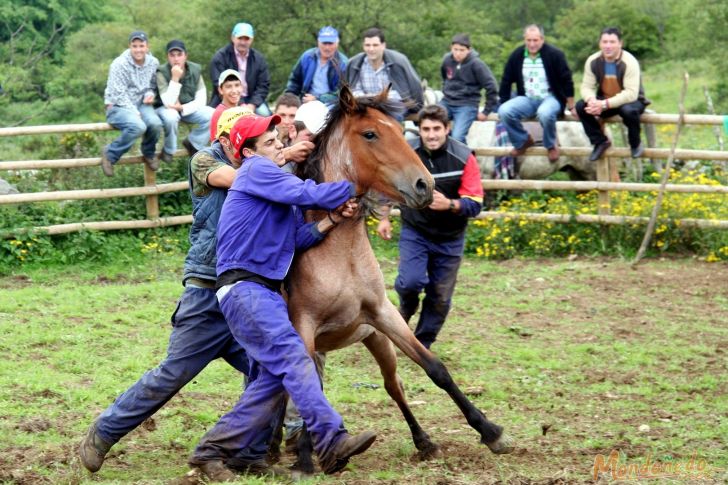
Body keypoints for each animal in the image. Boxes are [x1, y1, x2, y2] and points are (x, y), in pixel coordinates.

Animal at [284, 85, 512, 470]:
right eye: (370, 134)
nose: (425, 185)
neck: (340, 255)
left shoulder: (383, 315)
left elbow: (434, 368)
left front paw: (490, 430)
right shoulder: (304, 328)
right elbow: (306, 387)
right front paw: (303, 461)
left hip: (375, 339)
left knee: (393, 385)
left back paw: (422, 440)